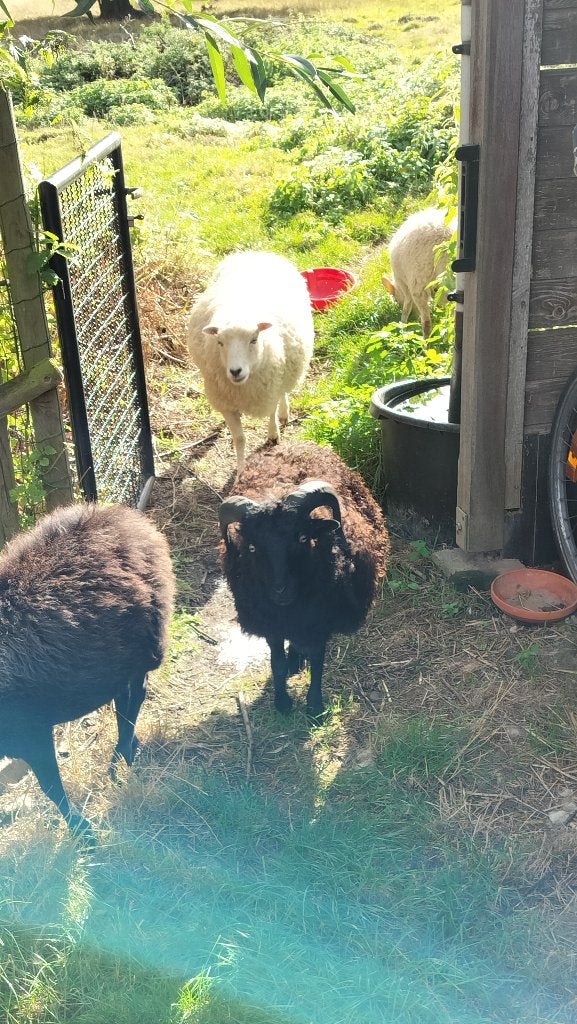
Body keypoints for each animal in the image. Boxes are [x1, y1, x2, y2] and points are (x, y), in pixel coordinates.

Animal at [0, 503, 175, 838]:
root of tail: (122, 515)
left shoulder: (32, 731)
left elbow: (51, 786)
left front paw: (82, 831)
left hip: (146, 644)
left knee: (135, 697)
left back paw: (121, 758)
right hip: (118, 661)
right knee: (125, 698)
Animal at [187, 250, 315, 478]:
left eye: (254, 340)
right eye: (220, 342)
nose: (235, 371)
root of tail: (255, 252)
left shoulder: (269, 388)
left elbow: (271, 412)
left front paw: (273, 435)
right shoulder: (225, 402)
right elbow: (239, 438)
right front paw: (240, 471)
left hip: (287, 369)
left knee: (284, 393)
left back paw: (284, 414)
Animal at [218, 441, 389, 718]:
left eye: (302, 538)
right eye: (253, 547)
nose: (280, 590)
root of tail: (294, 443)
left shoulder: (320, 622)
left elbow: (318, 663)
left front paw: (314, 706)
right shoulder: (272, 625)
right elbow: (276, 662)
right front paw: (282, 702)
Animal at [382, 207, 454, 339]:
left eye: (396, 300)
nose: (413, 319)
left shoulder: (404, 283)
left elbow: (407, 305)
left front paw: (402, 324)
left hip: (418, 281)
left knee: (426, 322)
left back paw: (426, 341)